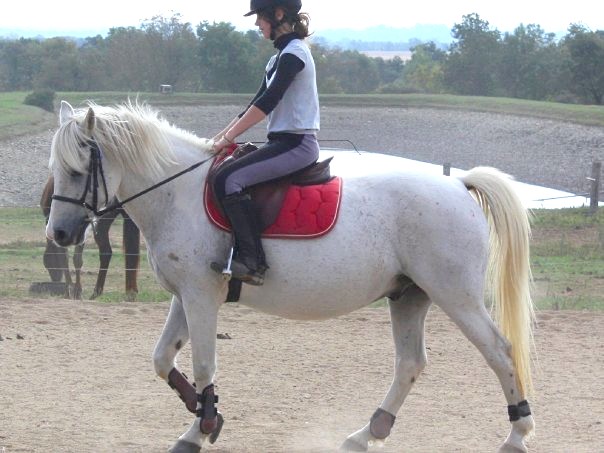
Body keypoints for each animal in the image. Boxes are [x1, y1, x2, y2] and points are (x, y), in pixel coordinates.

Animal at [49, 102, 536, 452]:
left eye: (77, 170)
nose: (59, 234)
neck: (176, 193)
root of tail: (458, 185)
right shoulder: (183, 295)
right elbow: (162, 358)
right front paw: (205, 416)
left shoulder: (201, 295)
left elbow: (204, 364)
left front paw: (201, 429)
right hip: (409, 296)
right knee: (411, 363)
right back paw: (367, 433)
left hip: (456, 296)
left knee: (499, 351)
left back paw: (516, 435)